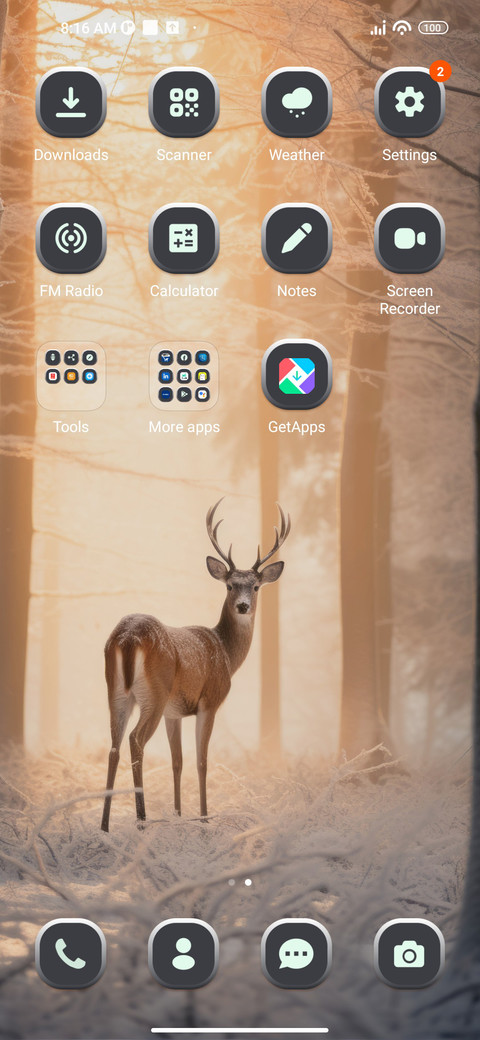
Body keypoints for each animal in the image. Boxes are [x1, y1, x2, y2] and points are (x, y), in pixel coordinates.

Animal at [100, 500, 290, 832]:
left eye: (255, 587)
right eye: (229, 585)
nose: (243, 606)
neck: (226, 653)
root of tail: (128, 637)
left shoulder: (174, 712)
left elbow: (177, 762)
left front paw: (179, 815)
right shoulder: (209, 701)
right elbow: (202, 762)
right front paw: (203, 819)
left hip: (117, 690)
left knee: (114, 746)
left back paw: (104, 826)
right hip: (155, 692)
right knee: (135, 740)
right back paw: (141, 820)